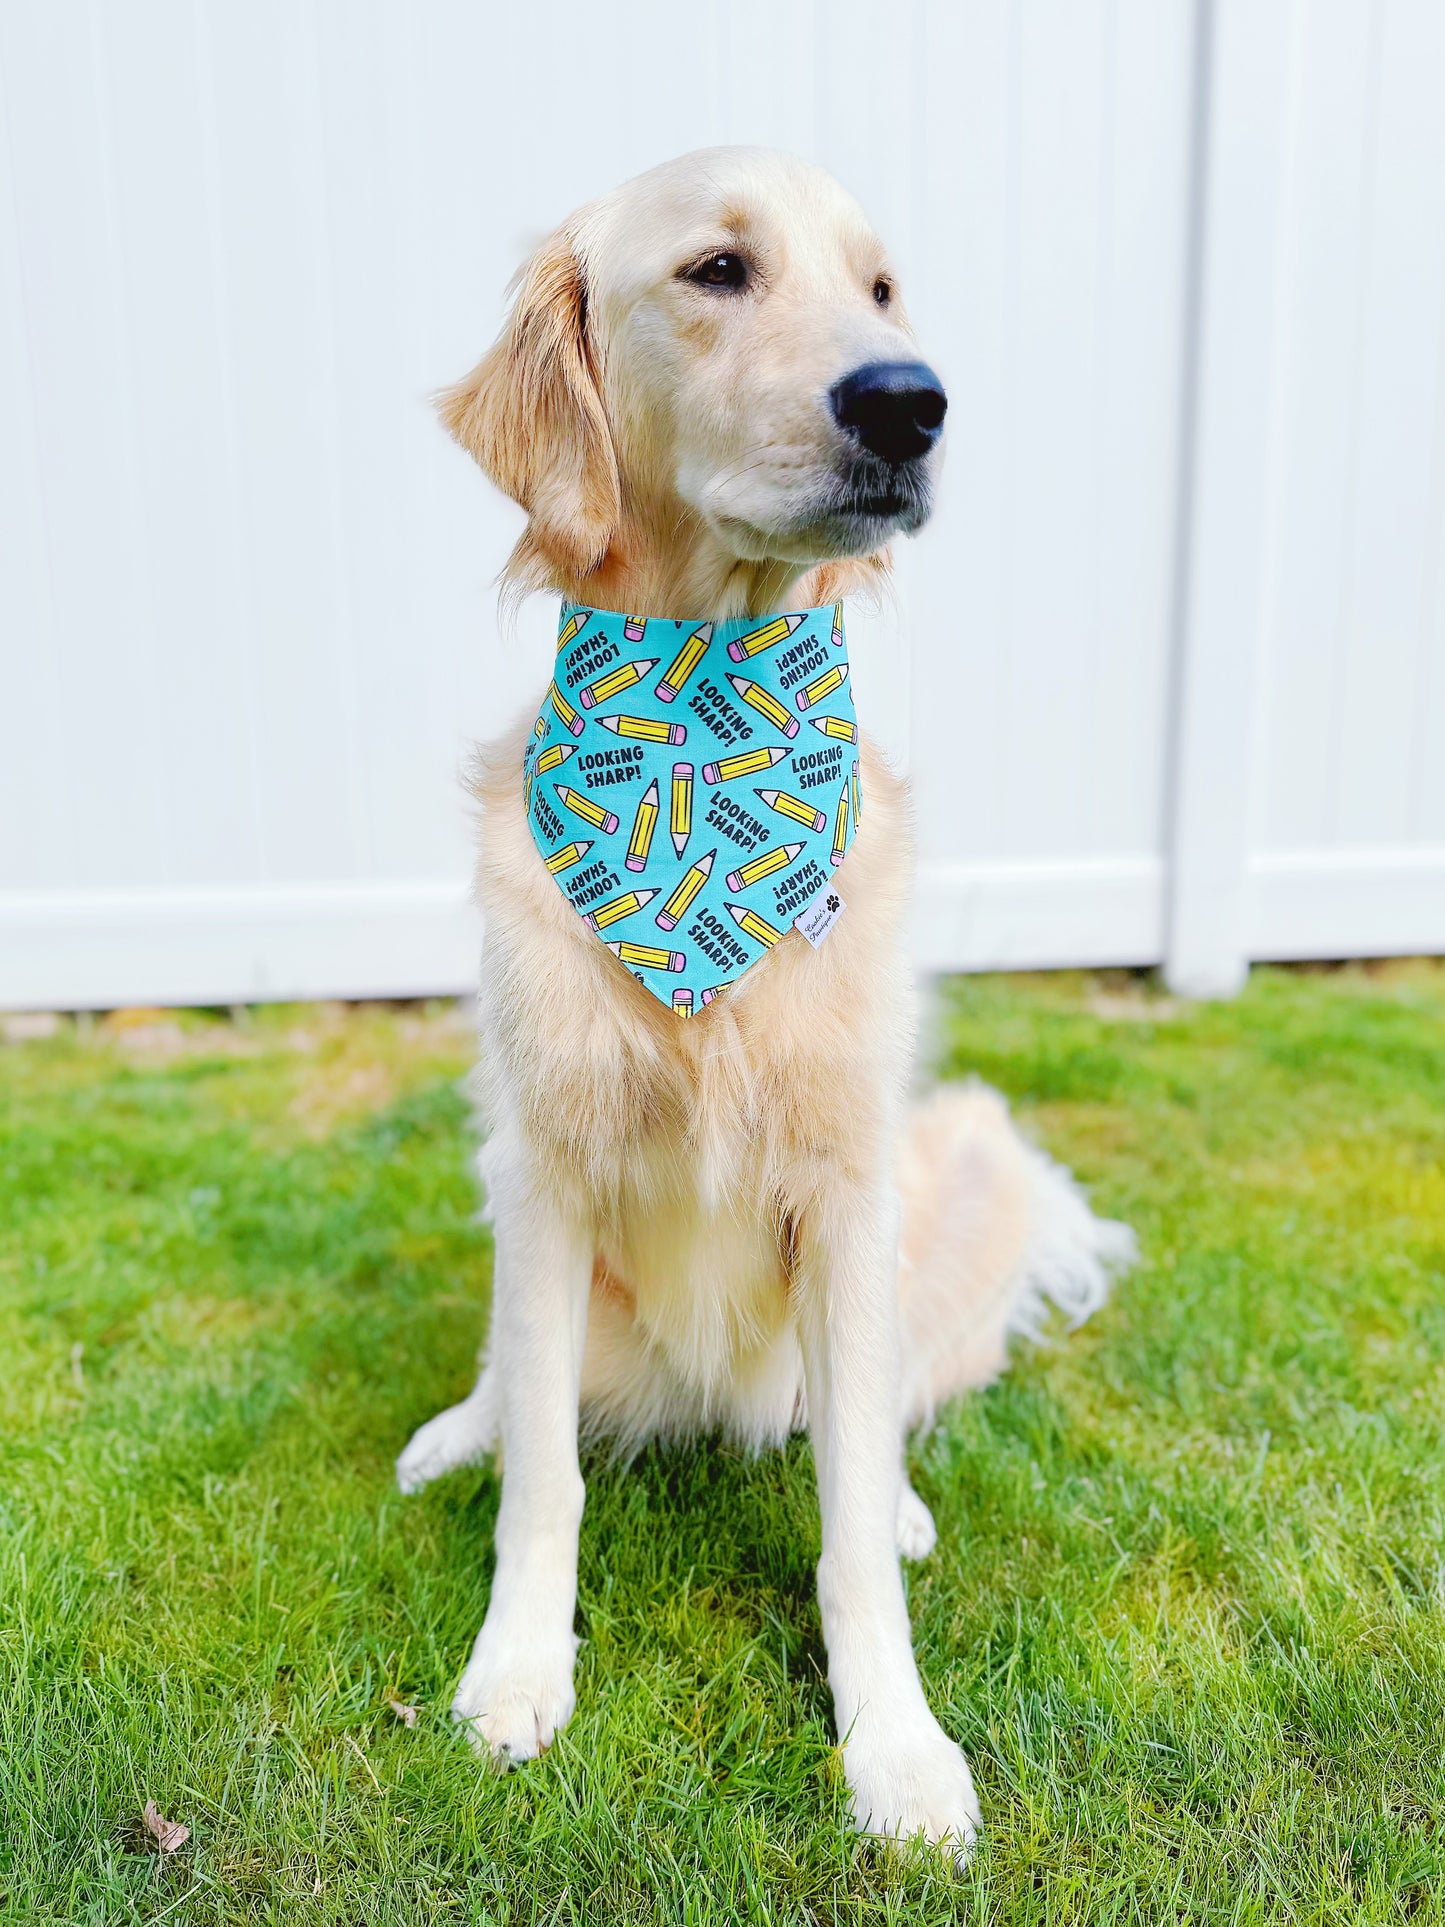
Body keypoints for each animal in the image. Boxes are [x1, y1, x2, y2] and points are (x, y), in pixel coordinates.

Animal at [402, 142, 1140, 1857]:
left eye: (882, 288)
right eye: (718, 270)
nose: (910, 402)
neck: (696, 724)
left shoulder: (850, 1181)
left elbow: (848, 1521)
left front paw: (896, 1747)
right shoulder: (547, 1165)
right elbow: (544, 1475)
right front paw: (516, 1670)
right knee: (517, 1387)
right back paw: (456, 1429)